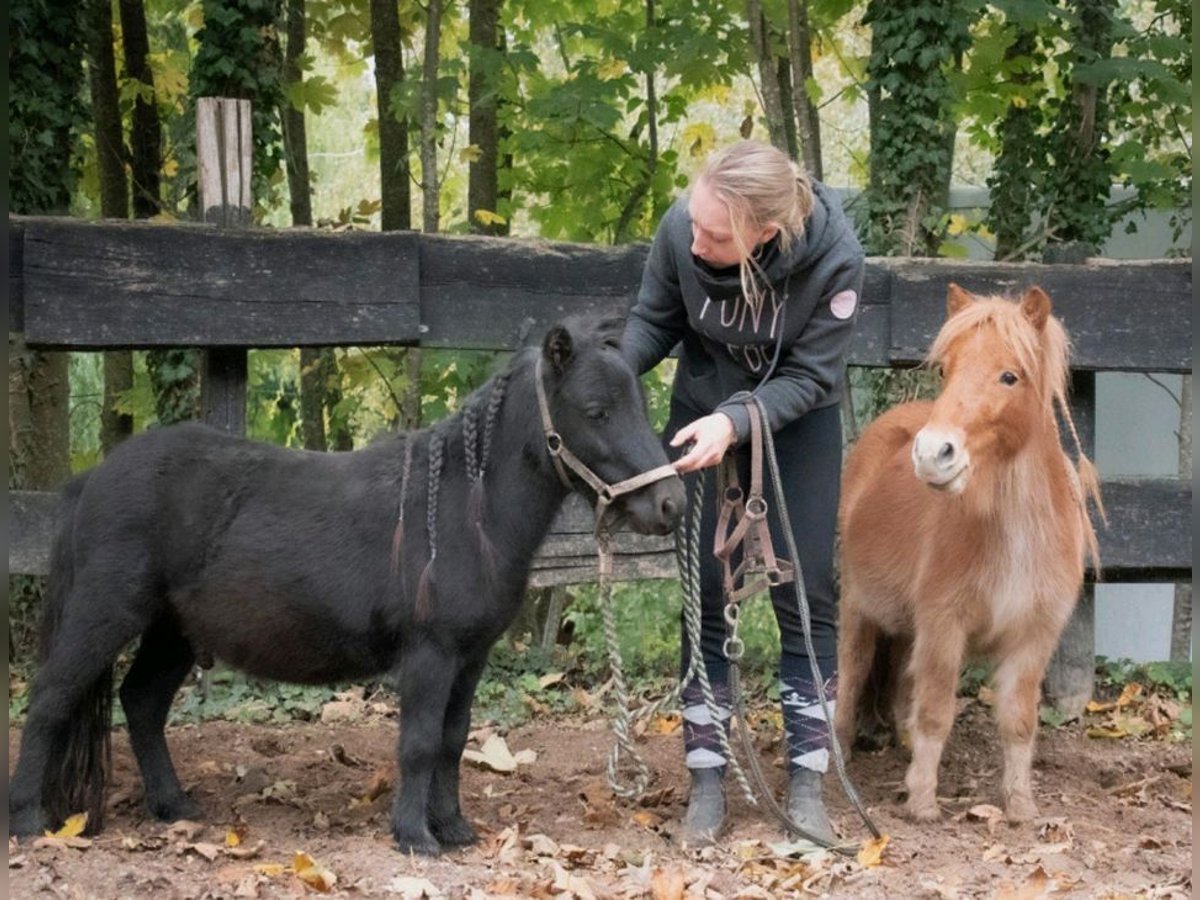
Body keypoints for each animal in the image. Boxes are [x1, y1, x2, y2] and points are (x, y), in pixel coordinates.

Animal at [9, 319, 686, 859]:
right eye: (596, 410)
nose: (670, 504)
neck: (461, 509)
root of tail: (94, 479)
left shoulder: (469, 659)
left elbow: (452, 740)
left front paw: (453, 828)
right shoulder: (430, 654)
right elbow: (418, 744)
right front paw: (415, 837)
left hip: (173, 630)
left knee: (142, 702)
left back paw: (174, 807)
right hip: (104, 614)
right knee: (50, 701)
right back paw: (25, 820)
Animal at [840, 286, 1099, 825]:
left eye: (1009, 376)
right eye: (945, 369)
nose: (932, 453)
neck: (1012, 533)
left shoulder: (1034, 637)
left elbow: (1018, 722)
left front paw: (1020, 808)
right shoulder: (944, 625)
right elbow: (937, 712)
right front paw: (922, 802)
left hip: (904, 626)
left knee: (898, 681)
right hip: (857, 607)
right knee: (850, 675)